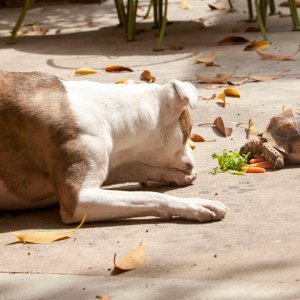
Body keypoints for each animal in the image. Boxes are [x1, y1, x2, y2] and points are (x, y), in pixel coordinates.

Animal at [0, 71, 226, 224]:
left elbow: (134, 167)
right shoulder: (78, 199)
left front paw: (173, 175)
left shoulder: (109, 163)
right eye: (188, 133)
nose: (192, 162)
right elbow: (150, 196)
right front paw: (196, 205)